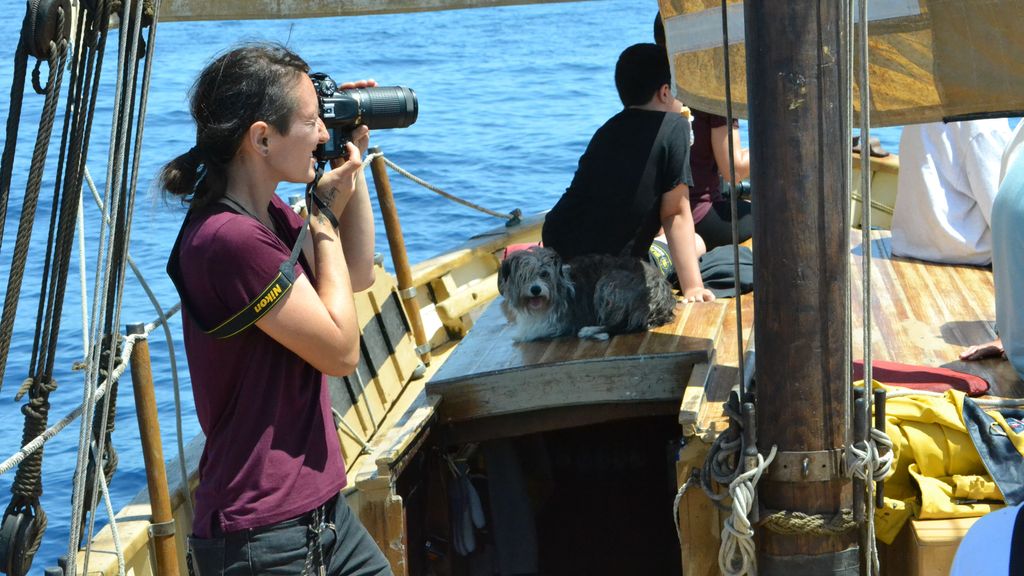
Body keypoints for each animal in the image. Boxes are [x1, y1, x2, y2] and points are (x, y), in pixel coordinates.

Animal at [497, 243, 675, 338]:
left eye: (544, 274)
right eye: (523, 276)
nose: (535, 289)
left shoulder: (557, 322)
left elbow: (530, 331)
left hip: (609, 285)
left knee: (623, 325)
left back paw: (589, 330)